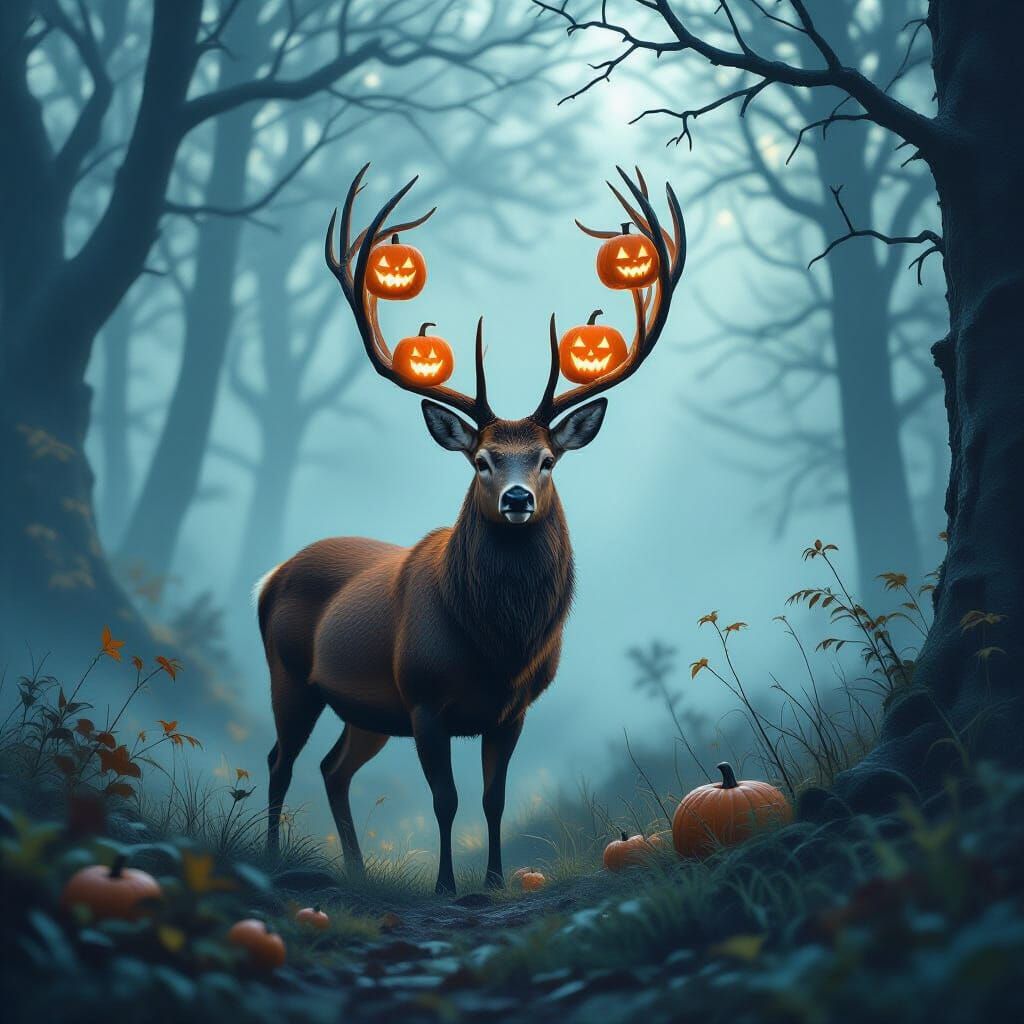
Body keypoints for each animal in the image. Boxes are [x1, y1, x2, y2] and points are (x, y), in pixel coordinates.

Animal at [257, 164, 685, 894]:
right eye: (481, 460)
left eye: (546, 459)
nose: (516, 498)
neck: (498, 645)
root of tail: (269, 576)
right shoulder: (425, 698)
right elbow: (445, 798)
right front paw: (447, 886)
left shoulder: (511, 711)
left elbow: (494, 797)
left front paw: (493, 881)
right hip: (290, 673)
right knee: (280, 761)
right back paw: (271, 859)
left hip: (366, 708)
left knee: (332, 768)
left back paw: (355, 870)